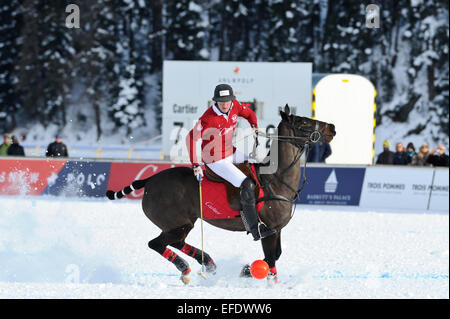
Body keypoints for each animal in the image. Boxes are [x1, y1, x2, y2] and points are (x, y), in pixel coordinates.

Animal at [105, 105, 334, 284]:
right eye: (303, 122)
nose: (332, 127)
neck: (276, 179)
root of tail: (149, 180)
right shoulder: (268, 229)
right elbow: (269, 260)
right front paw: (251, 273)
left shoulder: (277, 229)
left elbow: (274, 257)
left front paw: (262, 278)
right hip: (176, 222)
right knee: (157, 243)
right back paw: (186, 269)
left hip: (181, 223)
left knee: (175, 242)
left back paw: (208, 263)